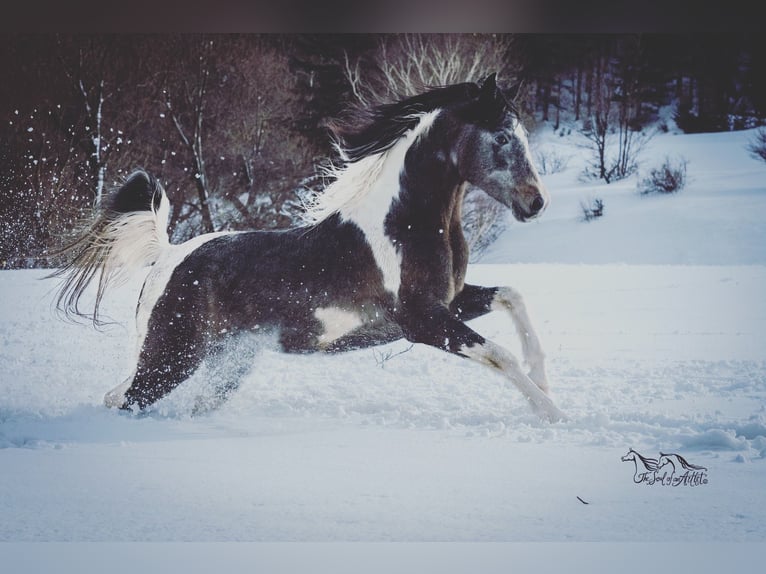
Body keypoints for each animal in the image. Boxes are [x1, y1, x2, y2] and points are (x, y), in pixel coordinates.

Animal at [52, 73, 565, 422]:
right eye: (502, 138)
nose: (536, 202)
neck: (404, 224)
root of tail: (168, 256)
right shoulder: (421, 321)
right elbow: (499, 353)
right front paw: (552, 412)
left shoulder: (451, 302)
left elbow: (512, 297)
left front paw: (544, 378)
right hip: (173, 355)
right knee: (126, 399)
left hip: (217, 360)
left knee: (141, 397)